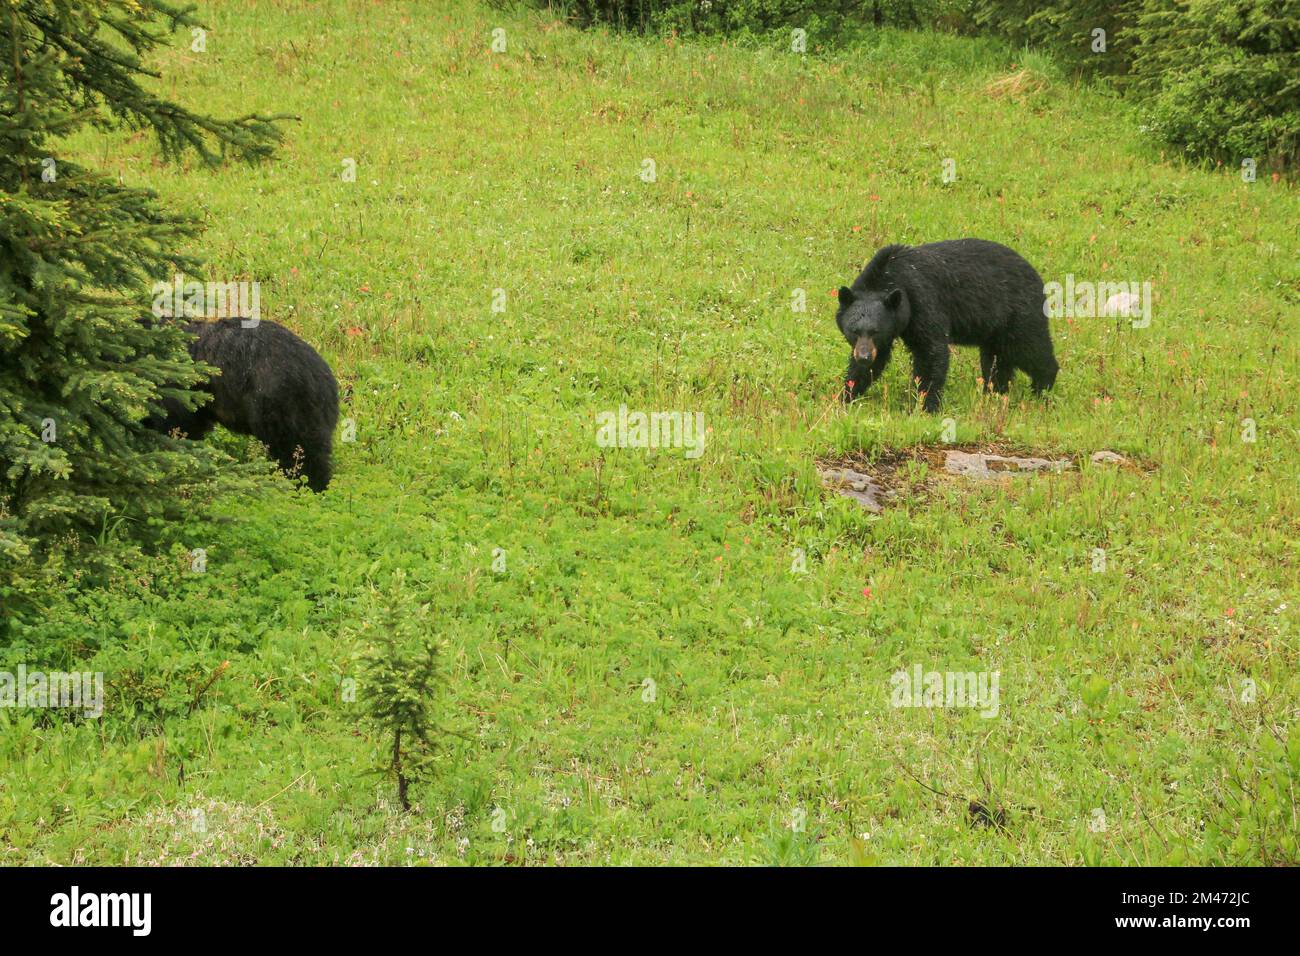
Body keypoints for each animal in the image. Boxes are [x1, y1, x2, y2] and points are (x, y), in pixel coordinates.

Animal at [146, 318, 340, 491]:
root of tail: (323, 378)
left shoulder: (179, 381)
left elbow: (178, 423)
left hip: (281, 404)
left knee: (297, 451)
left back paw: (307, 486)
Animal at [836, 239, 1059, 412]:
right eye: (855, 331)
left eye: (875, 331)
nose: (864, 356)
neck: (891, 275)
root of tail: (1037, 277)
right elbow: (875, 362)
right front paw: (846, 395)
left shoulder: (922, 300)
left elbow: (931, 351)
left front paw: (927, 405)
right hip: (994, 330)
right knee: (996, 361)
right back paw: (994, 393)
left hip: (1018, 315)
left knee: (1031, 350)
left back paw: (1041, 390)